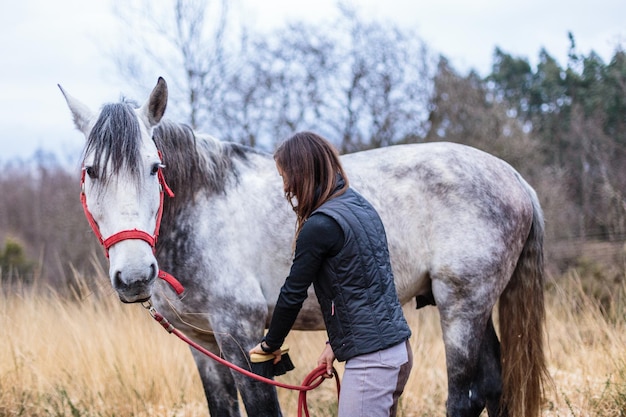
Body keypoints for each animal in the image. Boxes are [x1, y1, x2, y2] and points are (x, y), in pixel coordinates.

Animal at [58, 78, 544, 416]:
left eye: (154, 167)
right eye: (91, 171)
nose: (135, 276)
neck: (204, 205)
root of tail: (515, 178)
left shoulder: (242, 336)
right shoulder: (203, 344)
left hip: (462, 306)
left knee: (465, 396)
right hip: (475, 307)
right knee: (493, 388)